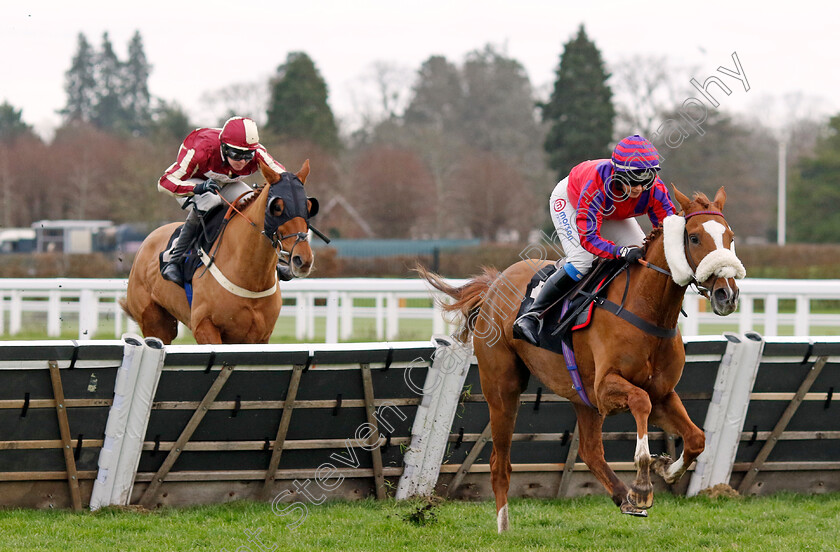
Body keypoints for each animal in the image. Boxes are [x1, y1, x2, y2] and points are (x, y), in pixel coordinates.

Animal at [124, 157, 318, 344]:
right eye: (277, 207)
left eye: (308, 207)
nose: (303, 259)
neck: (252, 279)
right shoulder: (204, 327)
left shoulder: (259, 337)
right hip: (155, 323)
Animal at [418, 185, 740, 532]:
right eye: (693, 237)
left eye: (730, 236)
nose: (727, 294)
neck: (647, 309)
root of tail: (494, 284)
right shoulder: (607, 388)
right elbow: (640, 403)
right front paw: (643, 484)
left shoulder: (661, 393)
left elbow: (696, 438)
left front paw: (665, 470)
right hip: (502, 389)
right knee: (499, 462)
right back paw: (504, 528)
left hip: (581, 397)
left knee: (590, 450)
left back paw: (622, 497)